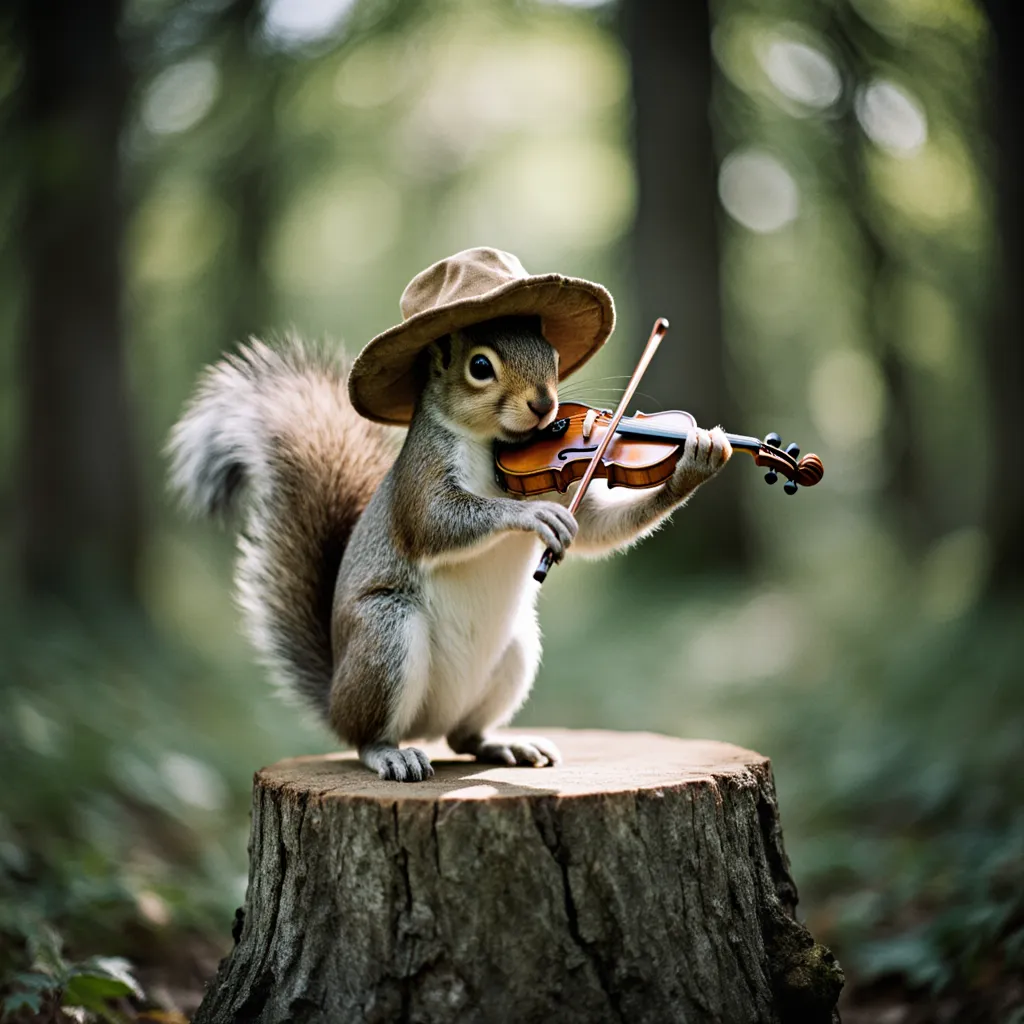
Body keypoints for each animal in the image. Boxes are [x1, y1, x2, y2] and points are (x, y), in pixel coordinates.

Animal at [168, 316, 731, 781]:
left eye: (552, 353)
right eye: (480, 366)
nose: (549, 410)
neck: (492, 443)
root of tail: (335, 699)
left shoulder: (565, 485)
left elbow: (595, 527)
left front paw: (695, 462)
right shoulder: (422, 481)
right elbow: (436, 525)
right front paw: (529, 516)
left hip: (514, 651)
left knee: (464, 736)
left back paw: (505, 746)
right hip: (385, 634)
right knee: (365, 736)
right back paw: (389, 754)